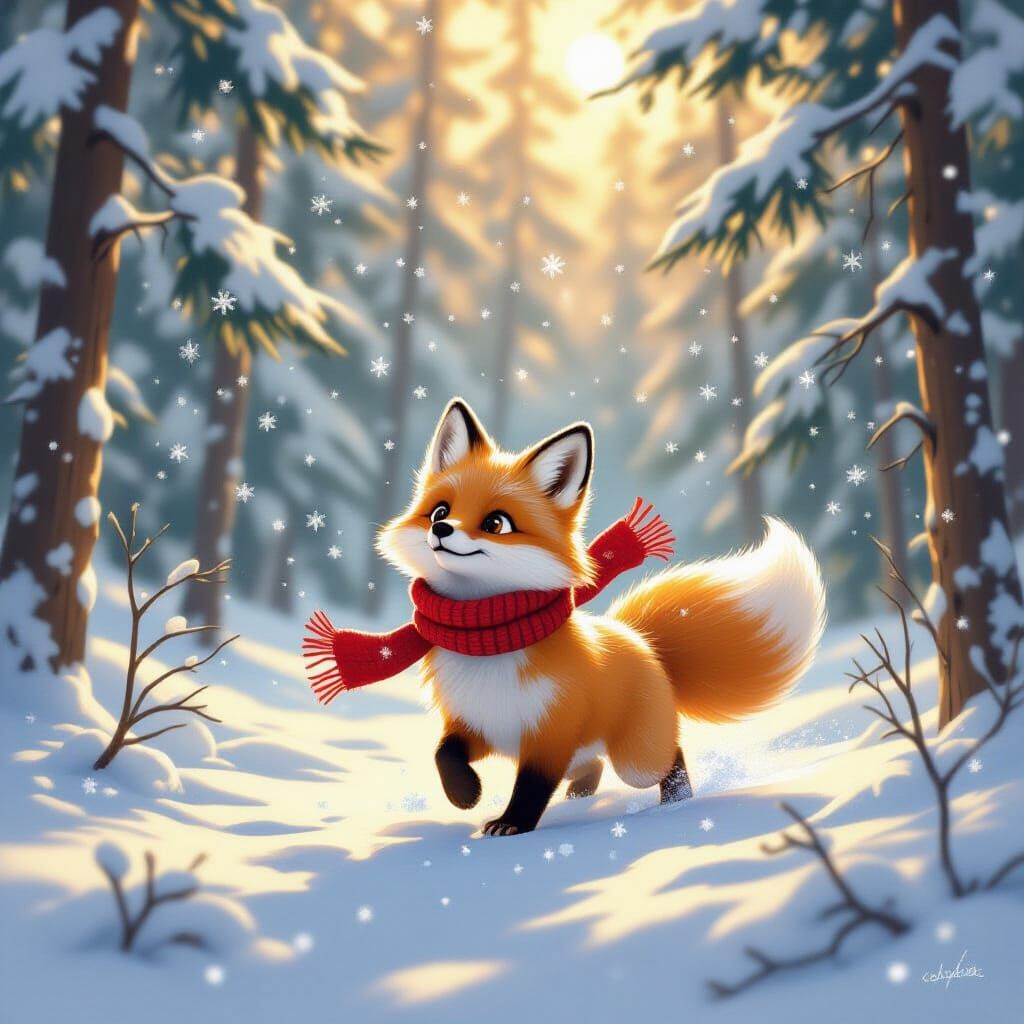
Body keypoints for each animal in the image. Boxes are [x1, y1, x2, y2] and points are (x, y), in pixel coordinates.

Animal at [374, 398, 826, 836]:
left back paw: (676, 802)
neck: (489, 641)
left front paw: (512, 825)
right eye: (439, 511)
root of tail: (643, 641)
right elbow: (444, 754)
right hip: (587, 752)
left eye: (495, 523)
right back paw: (581, 798)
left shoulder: (550, 736)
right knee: (592, 766)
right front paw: (465, 794)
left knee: (669, 757)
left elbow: (531, 788)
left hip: (635, 761)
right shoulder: (476, 722)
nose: (442, 530)